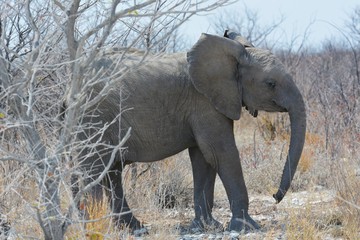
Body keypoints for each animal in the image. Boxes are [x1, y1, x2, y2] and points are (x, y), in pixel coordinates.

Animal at [74, 30, 306, 232]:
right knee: (94, 169)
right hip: (94, 117)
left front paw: (208, 226)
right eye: (270, 83)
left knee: (111, 171)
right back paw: (92, 226)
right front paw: (247, 227)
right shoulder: (204, 102)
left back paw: (133, 228)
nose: (274, 197)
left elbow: (204, 158)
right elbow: (221, 153)